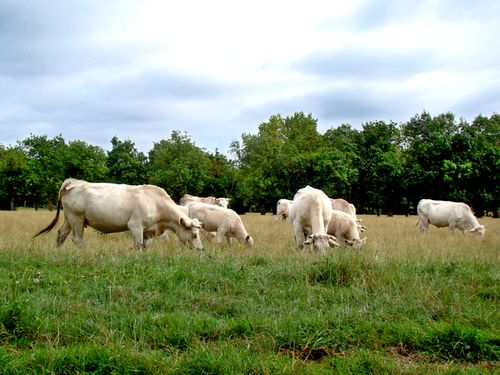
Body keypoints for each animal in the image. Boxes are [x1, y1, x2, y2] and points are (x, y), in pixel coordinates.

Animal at [33, 179, 203, 250]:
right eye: (194, 235)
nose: (201, 249)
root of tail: (73, 182)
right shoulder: (135, 226)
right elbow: (138, 245)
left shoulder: (148, 230)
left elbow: (145, 245)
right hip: (77, 219)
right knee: (77, 240)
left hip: (69, 218)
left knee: (61, 234)